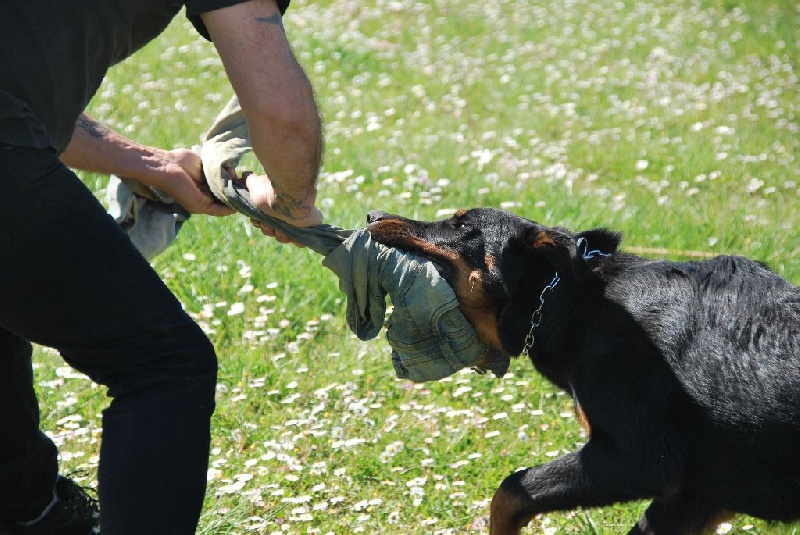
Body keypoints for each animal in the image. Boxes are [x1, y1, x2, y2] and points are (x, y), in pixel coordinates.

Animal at [364, 209, 800, 535]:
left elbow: (510, 491)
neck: (569, 300)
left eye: (460, 227)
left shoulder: (639, 458)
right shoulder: (698, 493)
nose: (372, 215)